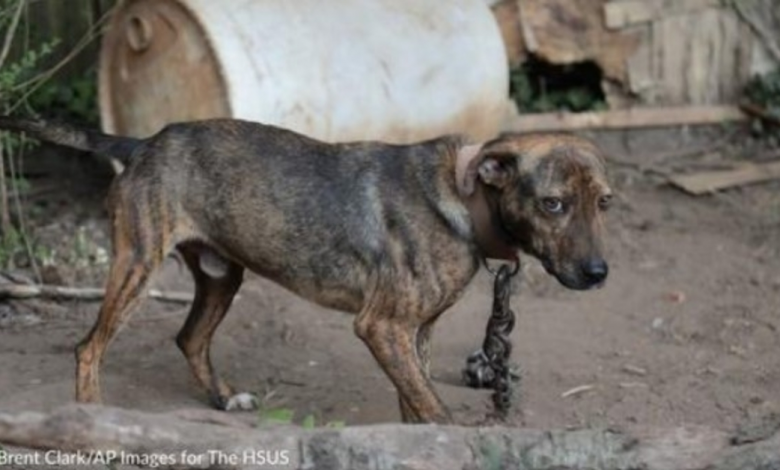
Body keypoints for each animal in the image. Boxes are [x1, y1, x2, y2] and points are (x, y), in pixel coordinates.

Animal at [0, 115, 608, 424]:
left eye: (604, 202)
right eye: (553, 204)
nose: (599, 273)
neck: (465, 198)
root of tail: (143, 141)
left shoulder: (415, 333)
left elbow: (415, 404)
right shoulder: (382, 328)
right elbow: (435, 409)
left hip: (222, 275)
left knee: (190, 338)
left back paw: (224, 399)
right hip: (137, 263)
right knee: (89, 348)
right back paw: (90, 419)